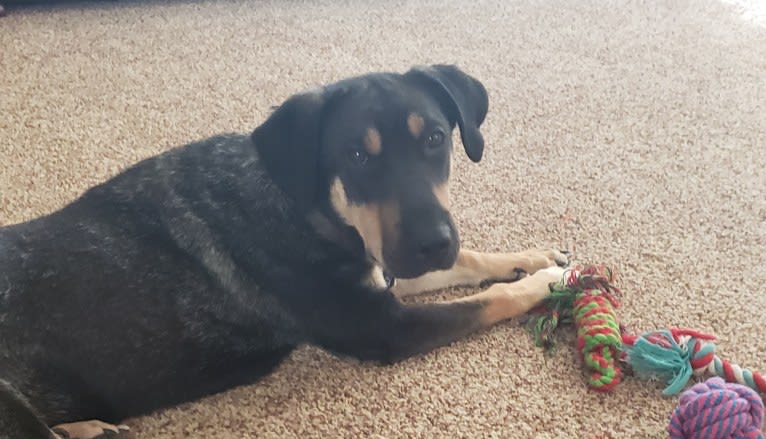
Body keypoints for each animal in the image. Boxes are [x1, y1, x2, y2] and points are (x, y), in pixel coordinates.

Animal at [1, 63, 568, 438]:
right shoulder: (383, 327)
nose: (433, 243)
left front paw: (533, 258)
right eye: (357, 155)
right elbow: (489, 301)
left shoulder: (379, 266)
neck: (304, 205)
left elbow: (468, 264)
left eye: (434, 138)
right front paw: (547, 284)